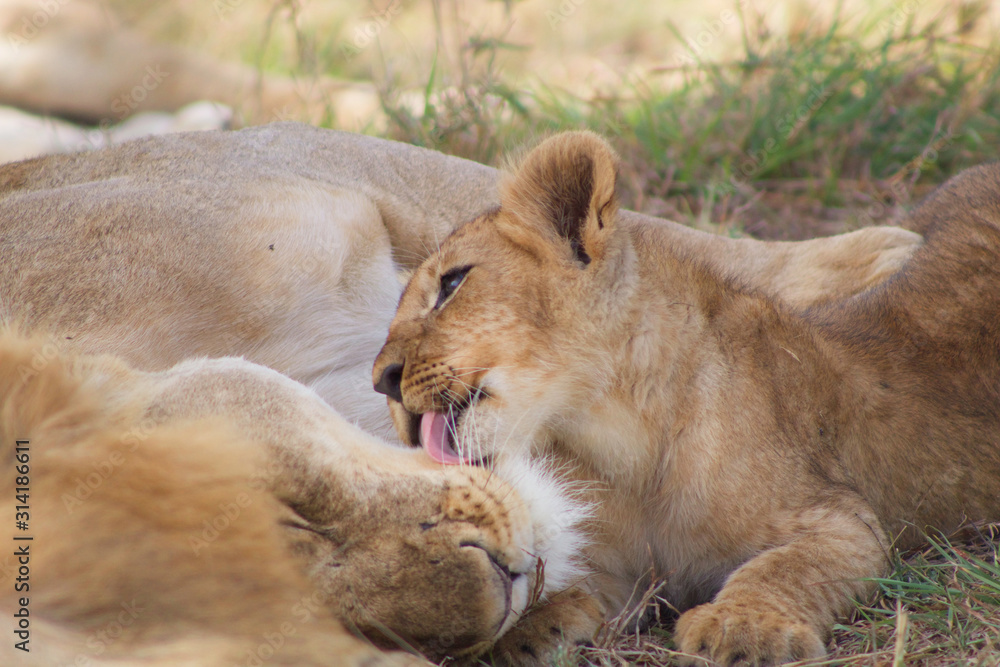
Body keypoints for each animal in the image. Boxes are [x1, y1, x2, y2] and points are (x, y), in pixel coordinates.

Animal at [373, 131, 1000, 665]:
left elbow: (783, 569)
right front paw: (521, 635)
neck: (616, 443)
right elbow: (565, 589)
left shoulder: (845, 522)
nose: (381, 380)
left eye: (452, 284)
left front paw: (744, 629)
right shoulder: (617, 572)